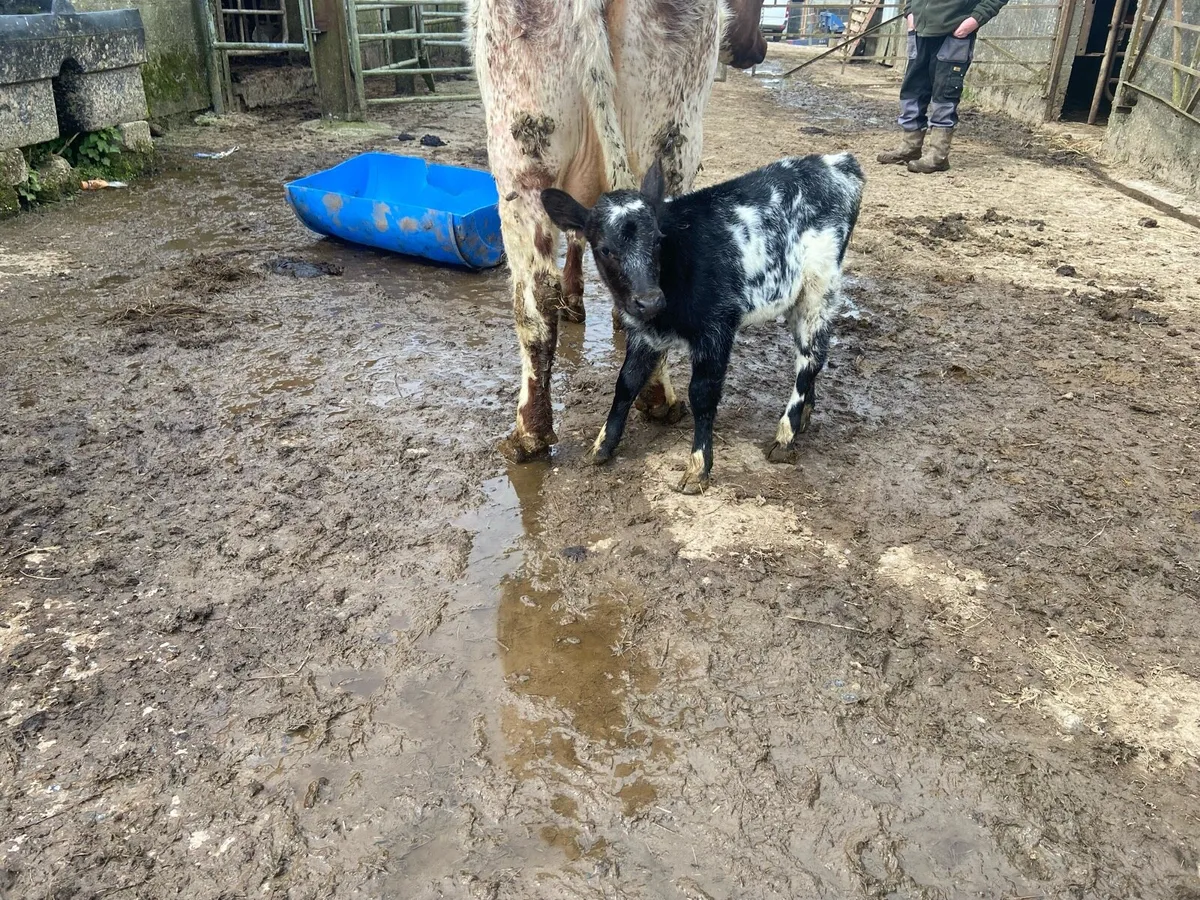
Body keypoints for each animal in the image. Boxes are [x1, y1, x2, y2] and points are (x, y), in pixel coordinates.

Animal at [541, 152, 865, 492]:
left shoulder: (717, 327)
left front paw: (698, 466)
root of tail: (838, 162)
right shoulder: (644, 334)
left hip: (820, 290)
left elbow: (702, 394)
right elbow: (626, 383)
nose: (650, 300)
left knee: (809, 359)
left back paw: (786, 435)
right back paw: (804, 417)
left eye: (657, 241)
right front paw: (603, 445)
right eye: (605, 249)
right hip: (794, 295)